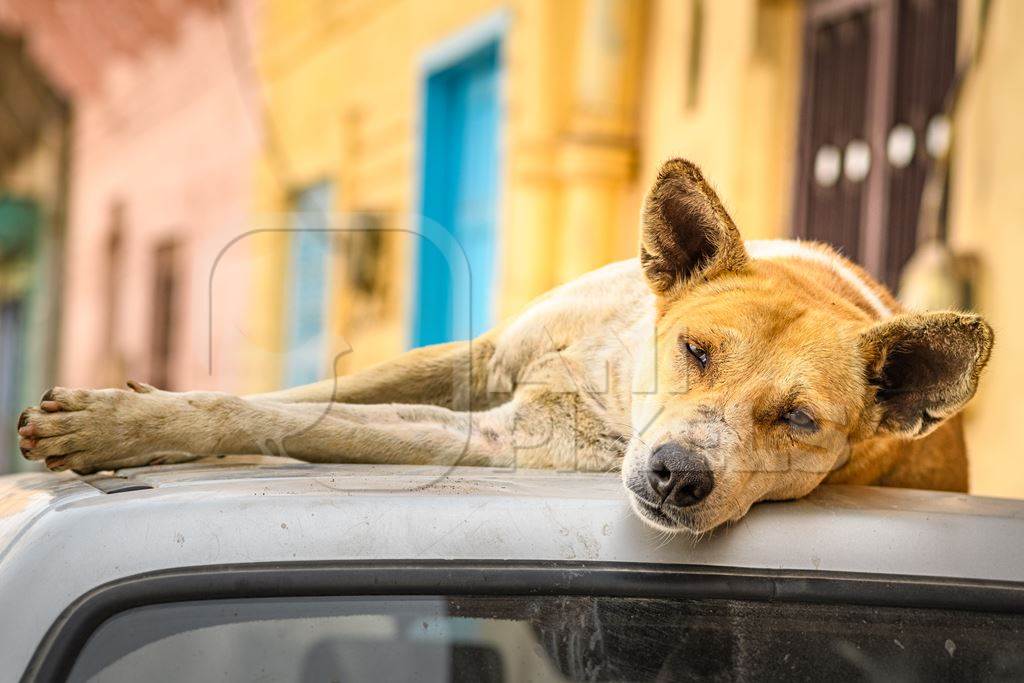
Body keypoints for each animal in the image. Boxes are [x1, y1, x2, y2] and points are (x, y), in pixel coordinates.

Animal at [16, 158, 991, 532]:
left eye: (798, 419)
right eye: (697, 350)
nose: (679, 474)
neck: (614, 373)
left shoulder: (493, 435)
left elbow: (300, 423)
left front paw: (112, 427)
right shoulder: (485, 355)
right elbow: (293, 400)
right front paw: (130, 414)